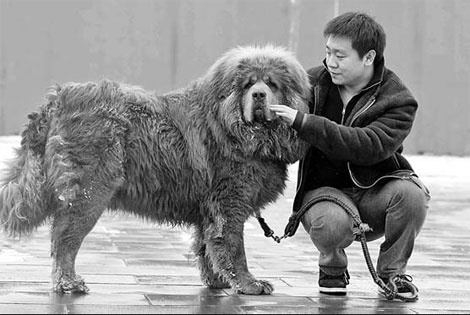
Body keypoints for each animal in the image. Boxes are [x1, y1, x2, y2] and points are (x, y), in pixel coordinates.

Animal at [0, 45, 312, 296]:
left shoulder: (209, 208)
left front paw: (217, 281)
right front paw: (248, 284)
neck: (235, 128)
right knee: (64, 240)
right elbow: (235, 249)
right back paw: (69, 283)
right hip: (90, 193)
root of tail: (57, 100)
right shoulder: (229, 205)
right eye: (248, 85)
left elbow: (208, 247)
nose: (259, 94)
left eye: (271, 83)